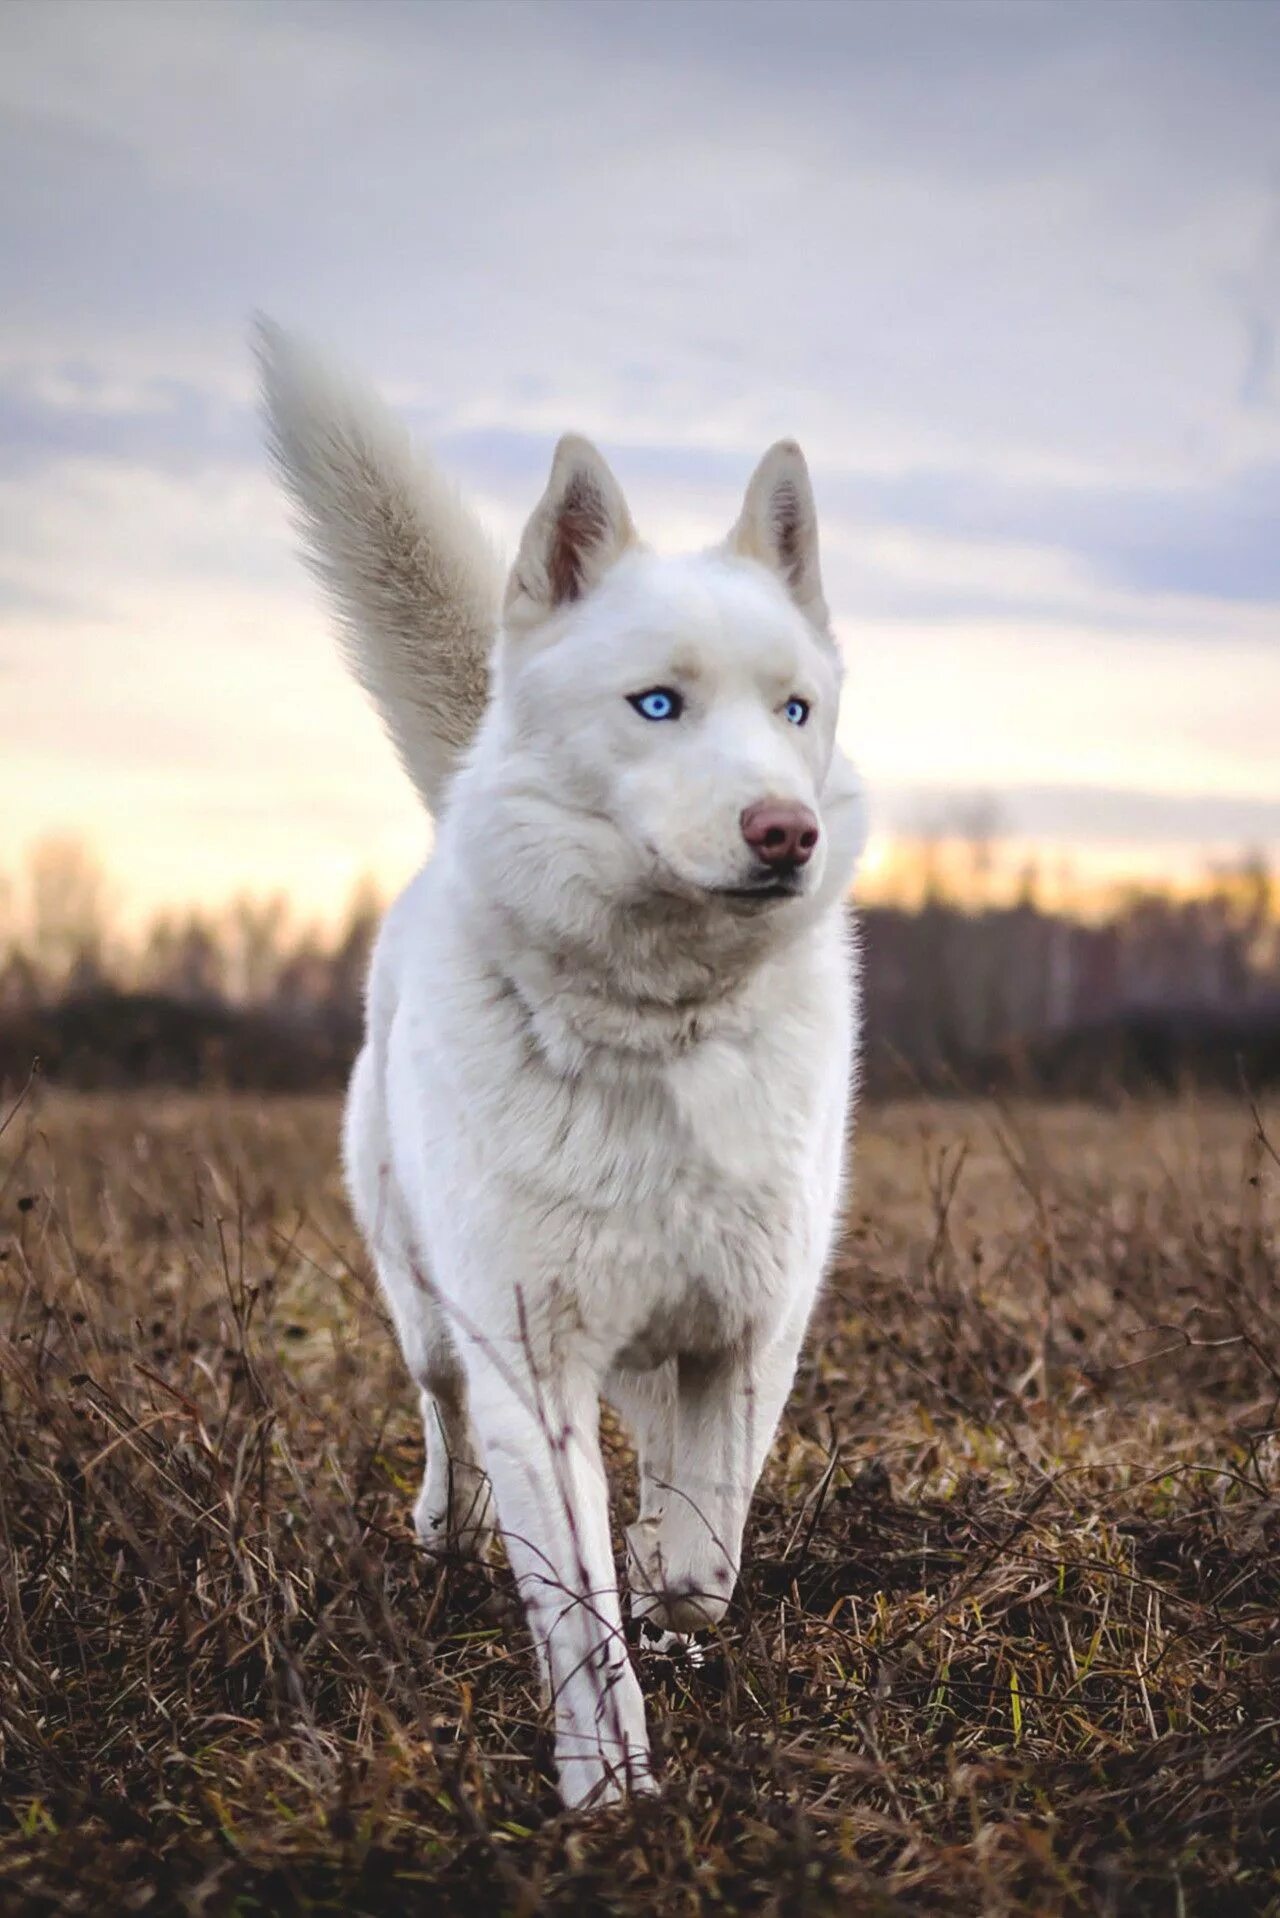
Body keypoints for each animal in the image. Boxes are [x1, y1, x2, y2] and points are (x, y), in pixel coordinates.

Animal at [257, 322, 867, 1802]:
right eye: (658, 704)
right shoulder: (530, 1367)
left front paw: (674, 1600)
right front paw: (611, 1793)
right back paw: (447, 1526)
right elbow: (582, 1613)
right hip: (427, 1306)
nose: (788, 831)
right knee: (443, 1418)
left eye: (795, 709)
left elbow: (704, 1548)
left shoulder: (749, 1333)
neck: (658, 1025)